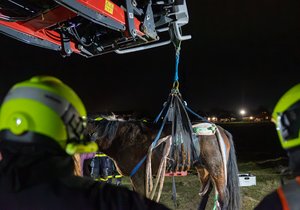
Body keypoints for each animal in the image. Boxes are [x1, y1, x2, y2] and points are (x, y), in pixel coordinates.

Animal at [82, 115, 241, 210]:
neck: (124, 139)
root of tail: (219, 129)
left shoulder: (138, 176)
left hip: (216, 168)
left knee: (223, 197)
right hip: (203, 169)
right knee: (206, 193)